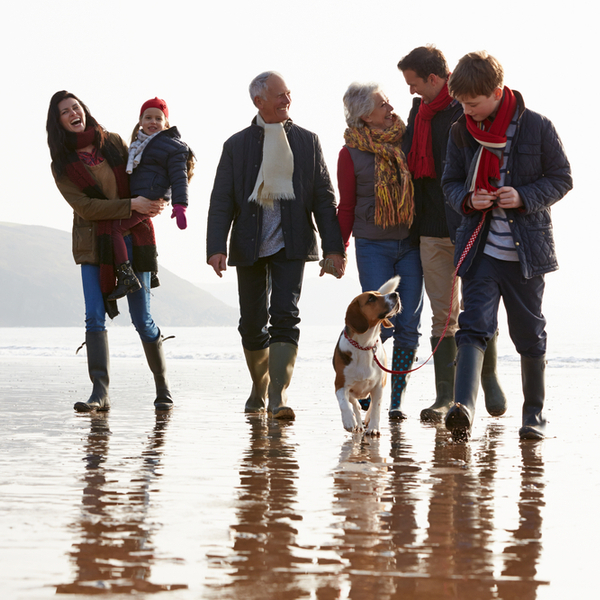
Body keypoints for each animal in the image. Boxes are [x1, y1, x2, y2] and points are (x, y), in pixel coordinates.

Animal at [336, 276, 400, 436]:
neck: (365, 345)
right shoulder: (340, 384)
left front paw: (373, 428)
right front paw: (349, 421)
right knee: (355, 405)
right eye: (371, 299)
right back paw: (358, 423)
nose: (395, 294)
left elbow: (376, 407)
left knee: (370, 406)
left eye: (379, 294)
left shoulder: (378, 386)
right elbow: (344, 403)